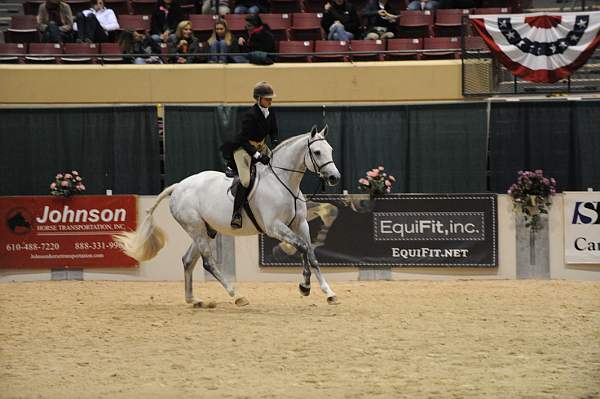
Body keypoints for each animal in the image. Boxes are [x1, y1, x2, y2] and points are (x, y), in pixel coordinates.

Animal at [115, 126, 340, 308]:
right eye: (317, 152)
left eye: (331, 150)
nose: (334, 178)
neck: (282, 181)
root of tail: (178, 187)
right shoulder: (275, 227)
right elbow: (302, 247)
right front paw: (305, 286)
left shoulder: (300, 224)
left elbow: (310, 253)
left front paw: (329, 293)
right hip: (196, 228)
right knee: (208, 263)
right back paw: (237, 296)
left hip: (205, 230)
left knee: (188, 260)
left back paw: (194, 300)